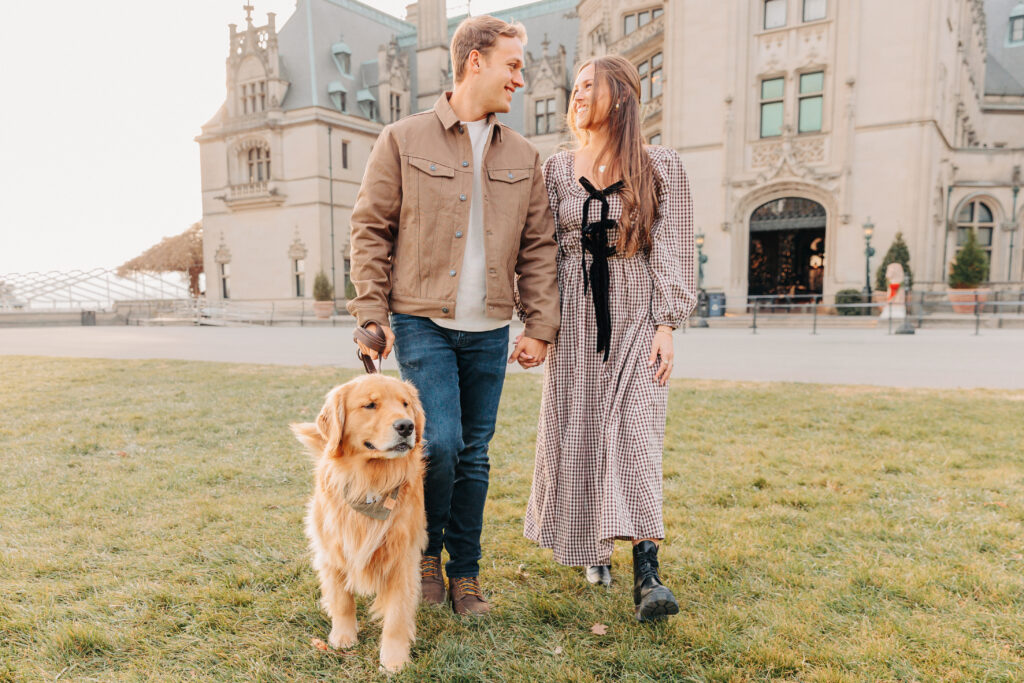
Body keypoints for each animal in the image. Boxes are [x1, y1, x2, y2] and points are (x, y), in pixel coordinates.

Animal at [292, 374, 428, 671]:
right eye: (370, 405)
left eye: (405, 404)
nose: (406, 426)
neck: (370, 483)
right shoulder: (334, 550)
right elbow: (342, 600)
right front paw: (343, 636)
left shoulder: (403, 558)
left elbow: (397, 615)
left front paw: (394, 659)